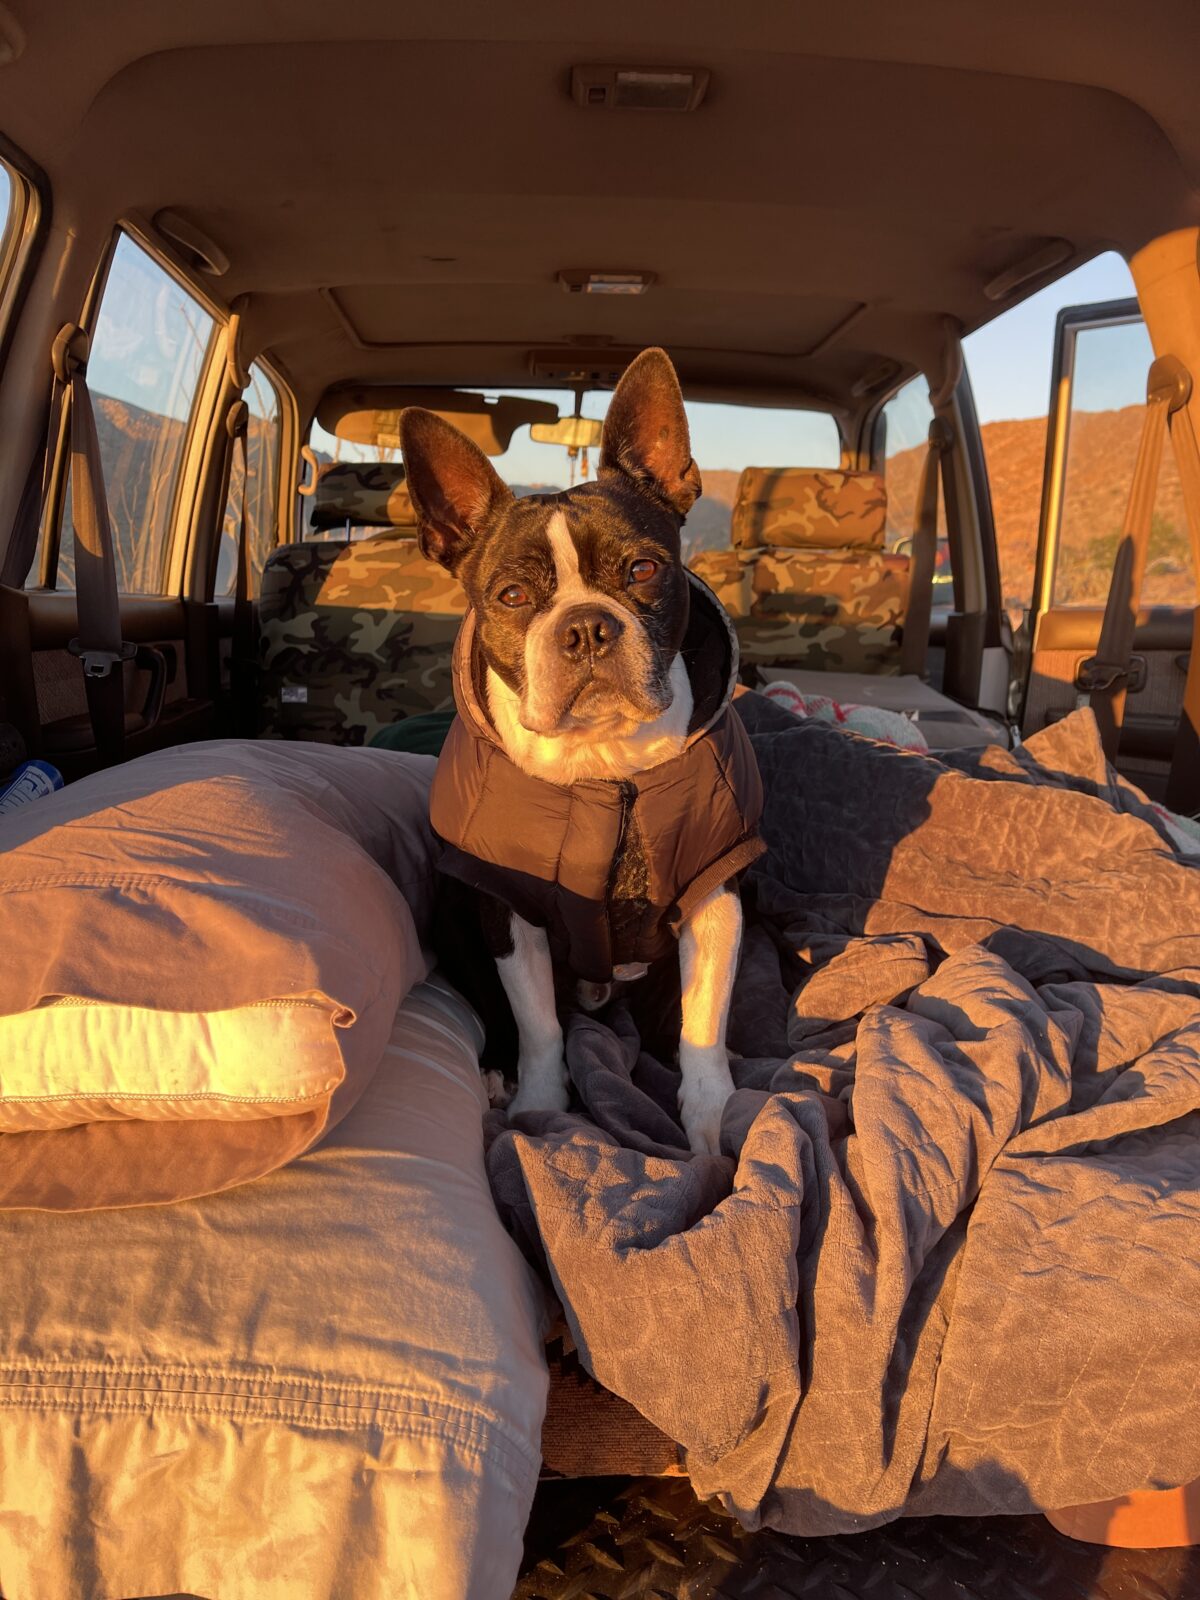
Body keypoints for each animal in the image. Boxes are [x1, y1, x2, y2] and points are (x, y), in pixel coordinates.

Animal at [400, 347, 764, 1152]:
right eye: (510, 597)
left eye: (643, 571)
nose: (586, 627)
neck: (603, 765)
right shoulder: (510, 911)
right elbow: (538, 1025)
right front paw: (540, 1103)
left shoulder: (715, 900)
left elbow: (705, 1022)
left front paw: (710, 1116)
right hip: (453, 909)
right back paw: (498, 1073)